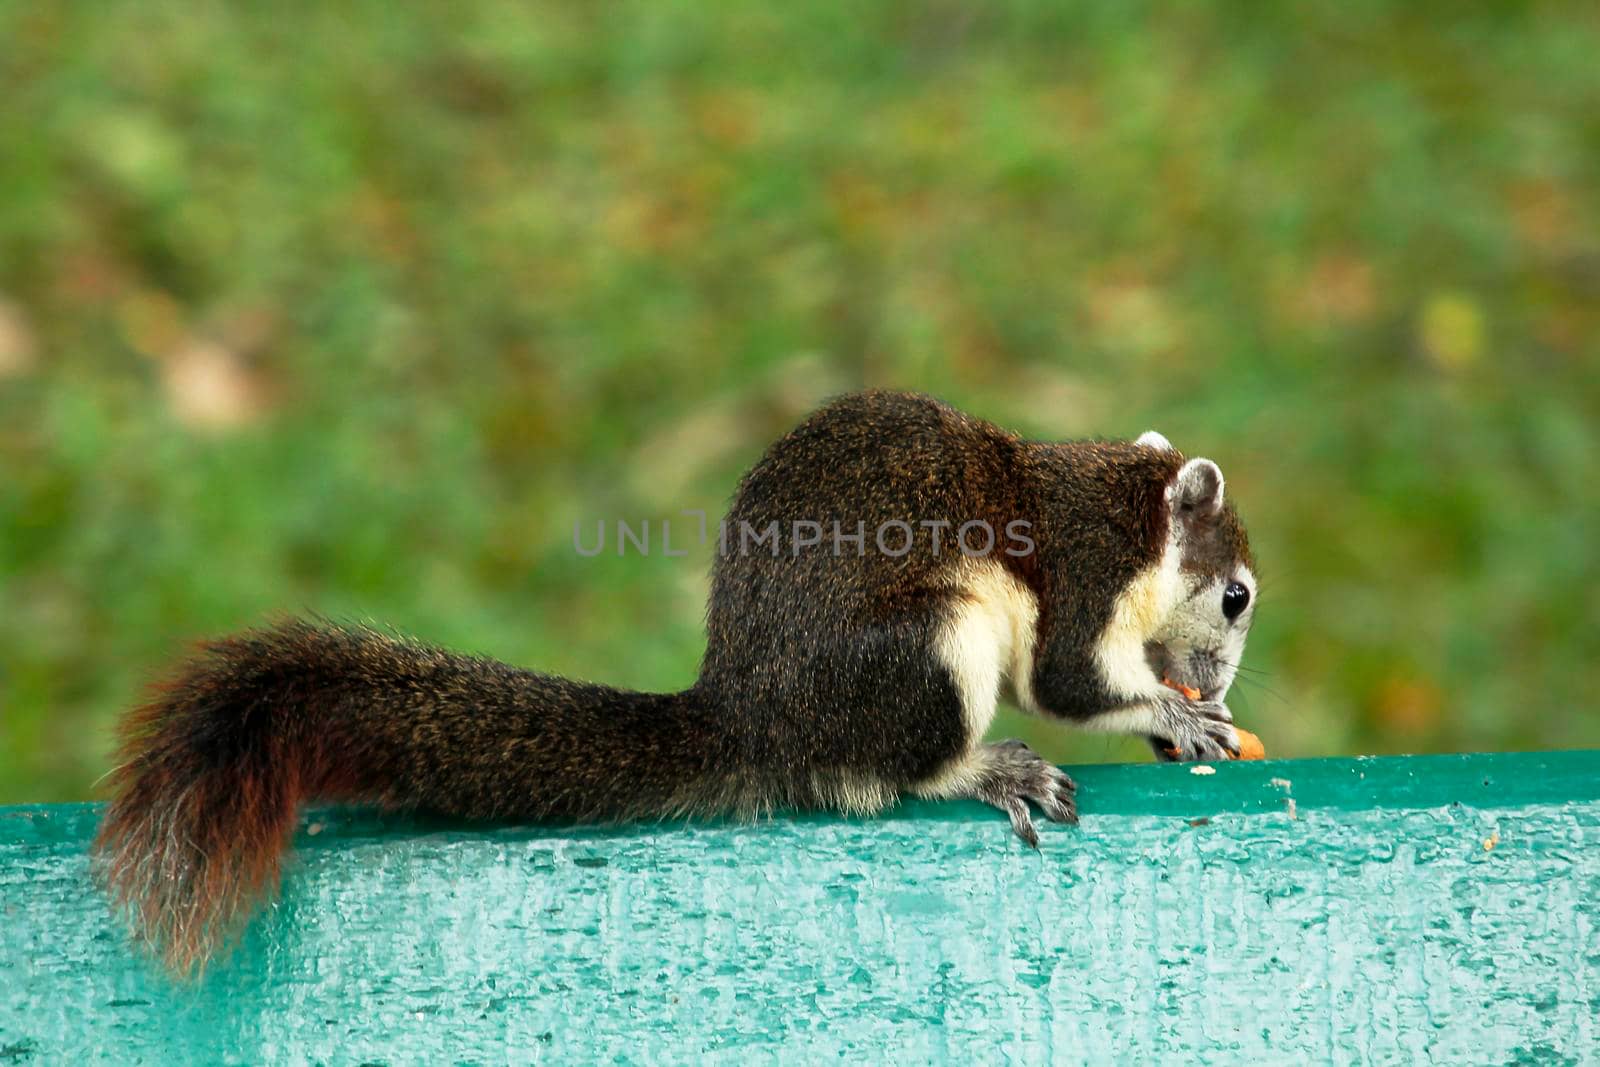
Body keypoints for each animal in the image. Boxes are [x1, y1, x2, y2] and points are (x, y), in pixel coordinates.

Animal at [93, 390, 1254, 966]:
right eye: (1237, 596)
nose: (1211, 679)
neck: (1122, 505)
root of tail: (752, 715)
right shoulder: (1084, 579)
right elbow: (1069, 684)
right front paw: (1176, 714)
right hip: (934, 641)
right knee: (879, 775)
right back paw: (984, 769)